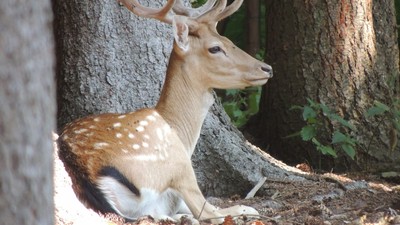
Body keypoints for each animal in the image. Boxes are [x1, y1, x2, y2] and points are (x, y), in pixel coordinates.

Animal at [57, 0, 274, 222]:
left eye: (228, 40)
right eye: (214, 48)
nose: (266, 68)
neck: (179, 129)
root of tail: (85, 171)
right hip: (176, 162)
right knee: (211, 212)